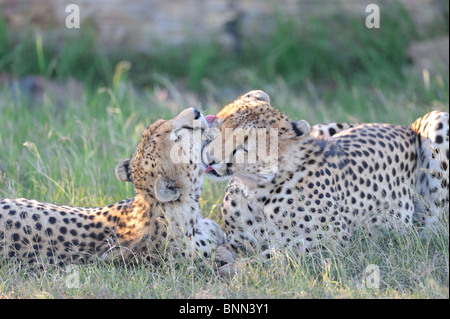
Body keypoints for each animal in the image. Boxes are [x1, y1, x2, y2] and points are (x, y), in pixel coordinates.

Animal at [202, 90, 448, 270]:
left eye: (243, 148)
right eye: (219, 125)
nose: (209, 158)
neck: (254, 188)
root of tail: (402, 126)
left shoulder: (330, 244)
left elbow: (276, 255)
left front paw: (232, 268)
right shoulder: (240, 239)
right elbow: (226, 248)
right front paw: (218, 257)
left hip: (439, 119)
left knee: (436, 224)